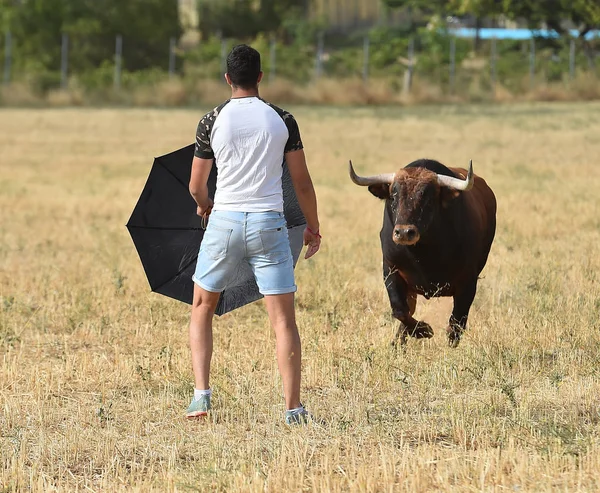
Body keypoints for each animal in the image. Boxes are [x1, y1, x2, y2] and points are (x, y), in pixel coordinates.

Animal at [350, 158, 494, 346]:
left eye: (428, 199)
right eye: (394, 196)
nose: (404, 232)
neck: (423, 254)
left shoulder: (468, 281)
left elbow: (456, 324)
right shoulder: (391, 270)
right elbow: (400, 311)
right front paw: (424, 330)